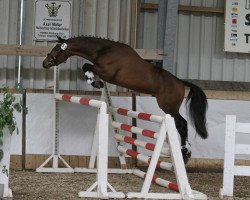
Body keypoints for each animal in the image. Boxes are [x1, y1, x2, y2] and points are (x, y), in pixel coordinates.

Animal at [43, 35, 209, 164]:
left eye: (57, 49)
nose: (45, 63)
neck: (103, 50)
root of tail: (180, 82)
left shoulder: (106, 72)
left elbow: (86, 66)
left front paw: (95, 82)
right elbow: (86, 67)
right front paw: (96, 82)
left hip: (168, 107)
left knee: (182, 124)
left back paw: (184, 152)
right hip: (169, 108)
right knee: (181, 125)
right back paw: (186, 152)